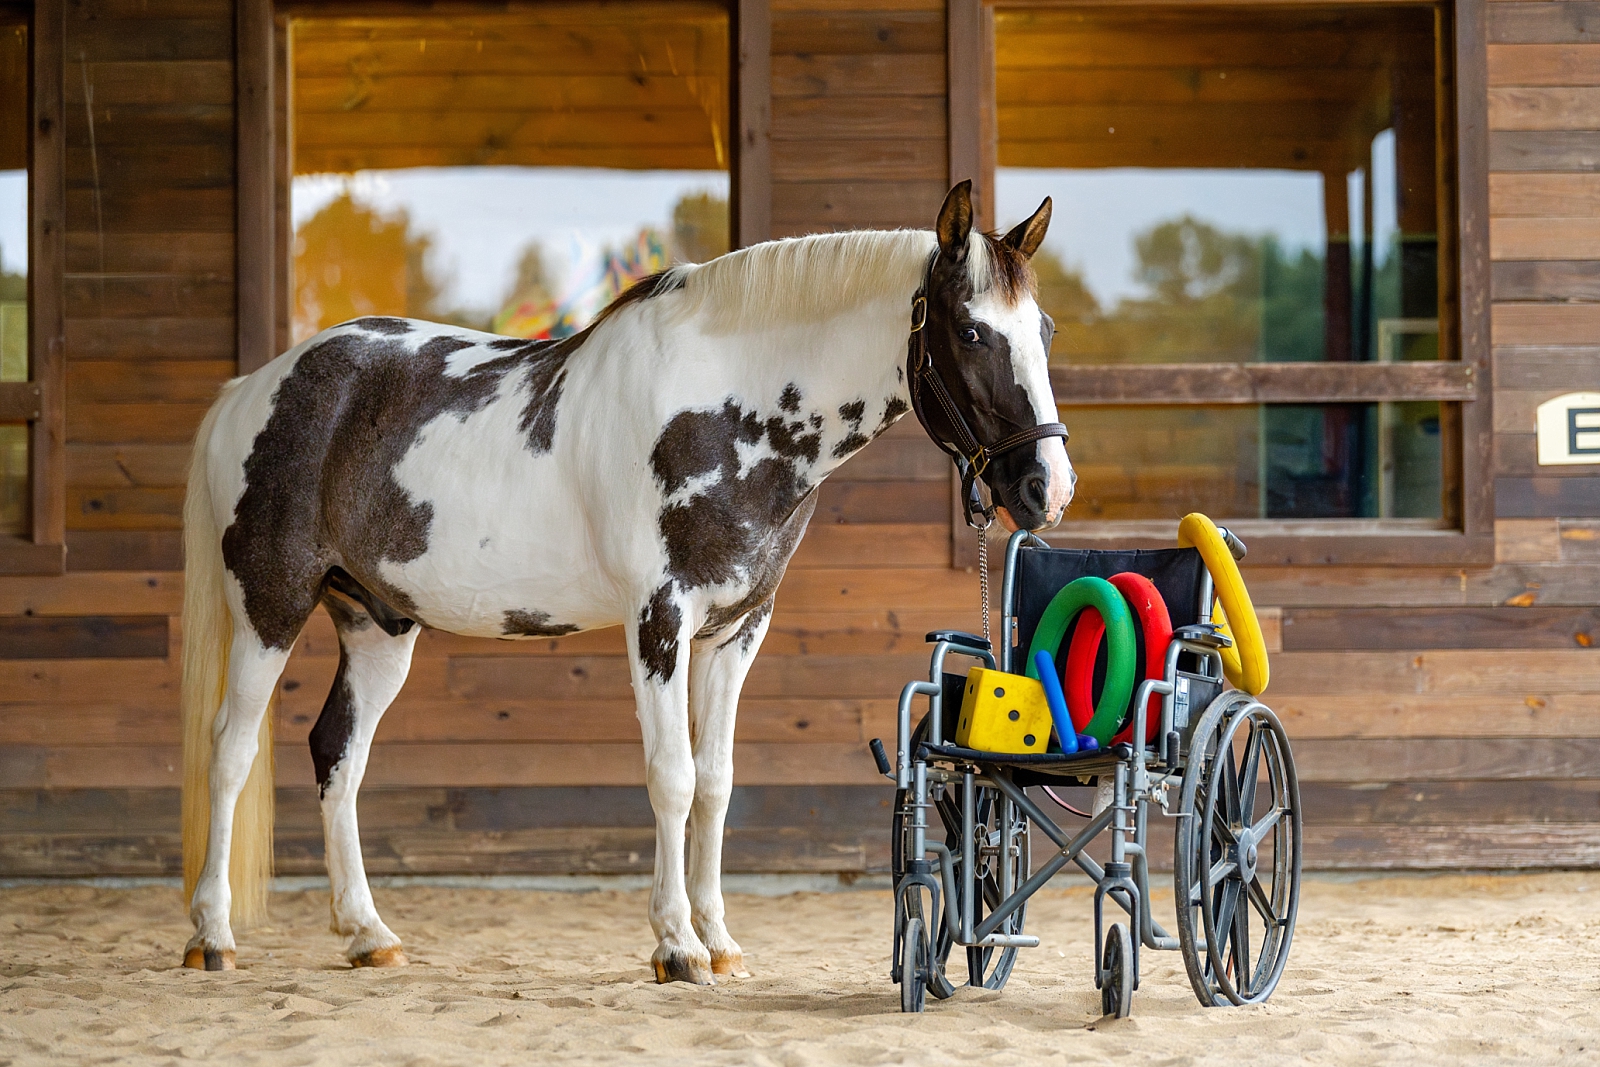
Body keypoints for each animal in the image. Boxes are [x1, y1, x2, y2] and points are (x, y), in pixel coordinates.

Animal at [178, 181, 1075, 985]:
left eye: (1044, 328)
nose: (1049, 488)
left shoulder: (737, 630)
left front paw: (720, 941)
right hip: (269, 605)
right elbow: (672, 776)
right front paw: (676, 945)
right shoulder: (659, 619)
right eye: (970, 330)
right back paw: (213, 935)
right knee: (229, 749)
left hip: (377, 624)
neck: (726, 403)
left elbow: (716, 782)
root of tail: (254, 389)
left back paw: (368, 934)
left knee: (339, 752)